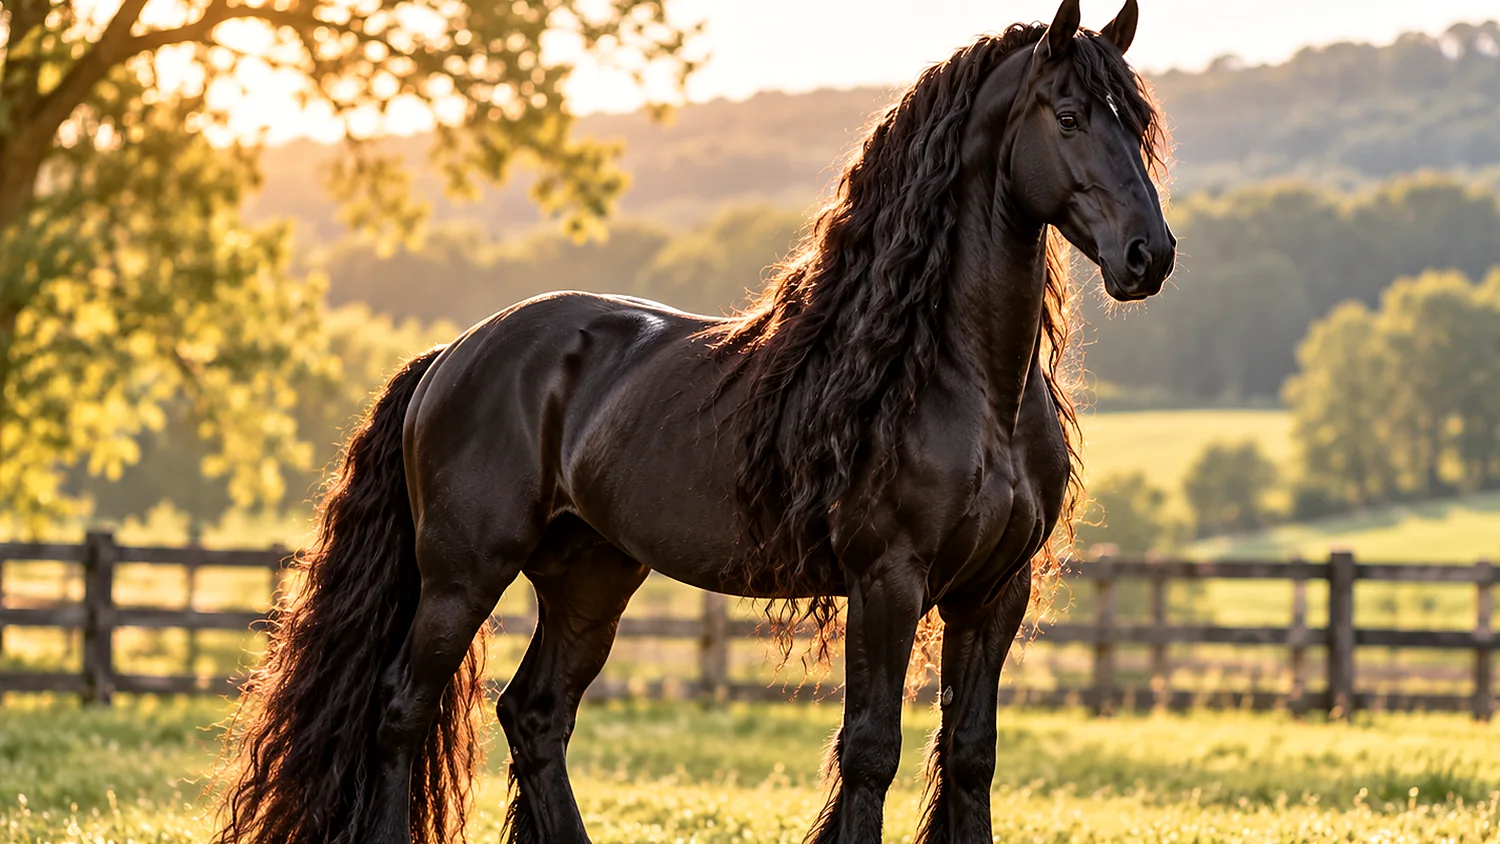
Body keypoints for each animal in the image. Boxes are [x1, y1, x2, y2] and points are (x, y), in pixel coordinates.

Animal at [216, 1, 1174, 842]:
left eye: (1138, 123)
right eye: (1069, 115)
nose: (1149, 255)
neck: (964, 385)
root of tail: (455, 353)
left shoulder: (994, 593)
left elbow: (970, 756)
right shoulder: (887, 581)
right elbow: (871, 753)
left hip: (590, 575)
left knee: (535, 717)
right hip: (461, 574)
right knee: (401, 713)